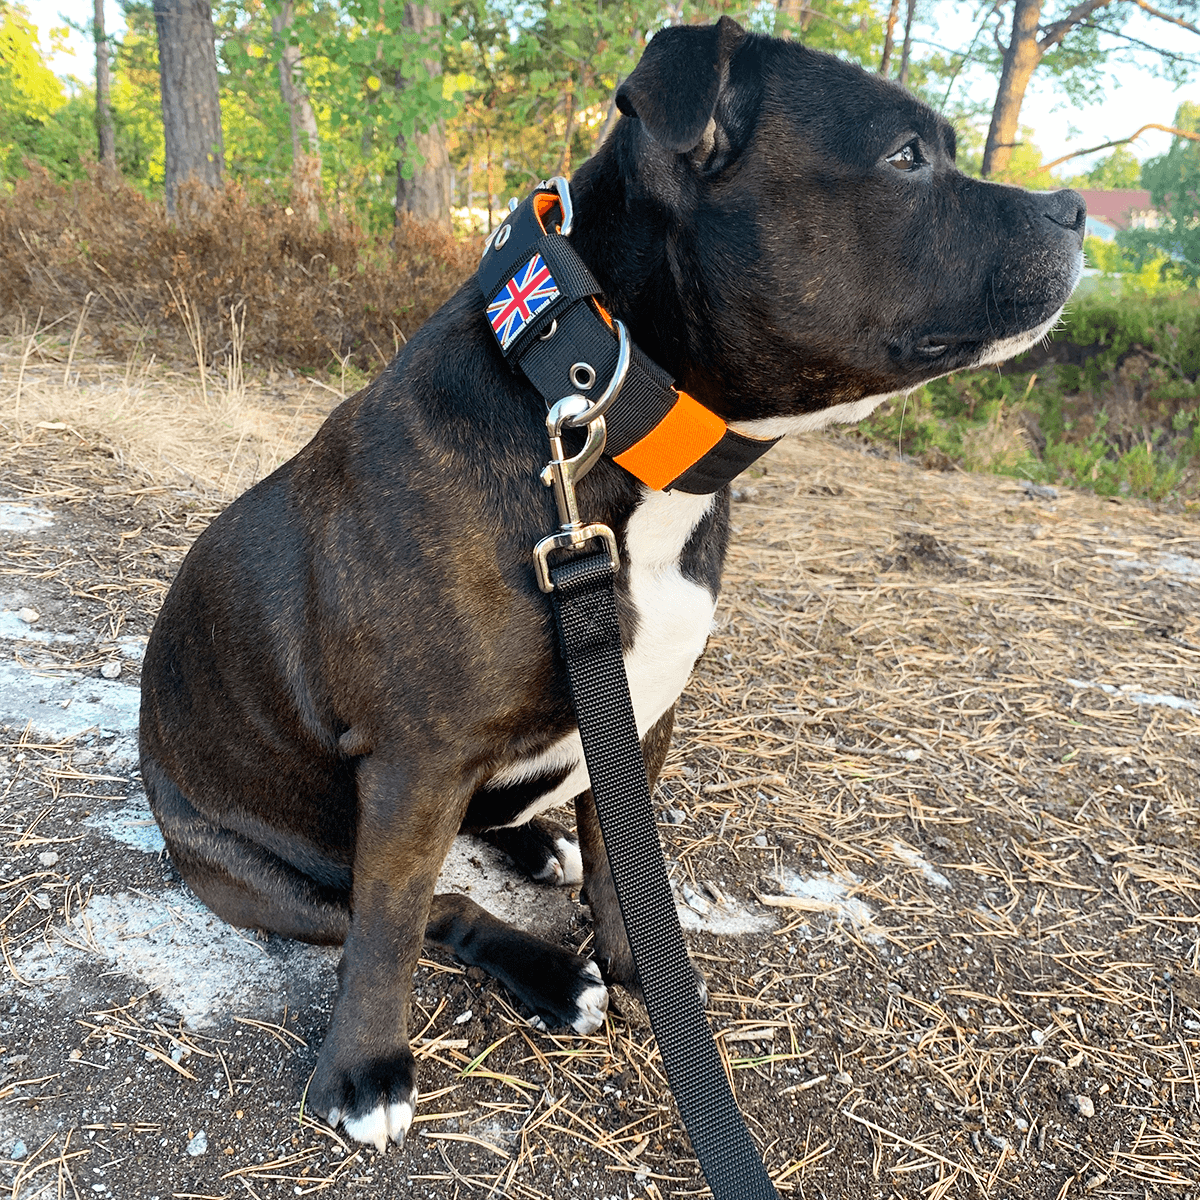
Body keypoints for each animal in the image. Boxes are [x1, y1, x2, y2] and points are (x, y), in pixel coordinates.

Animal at [140, 18, 1089, 1152]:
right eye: (907, 157)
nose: (1074, 207)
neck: (598, 411)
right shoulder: (417, 759)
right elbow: (393, 931)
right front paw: (364, 1069)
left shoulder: (637, 718)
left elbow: (623, 863)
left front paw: (642, 971)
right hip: (257, 874)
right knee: (429, 911)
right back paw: (547, 975)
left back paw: (534, 849)